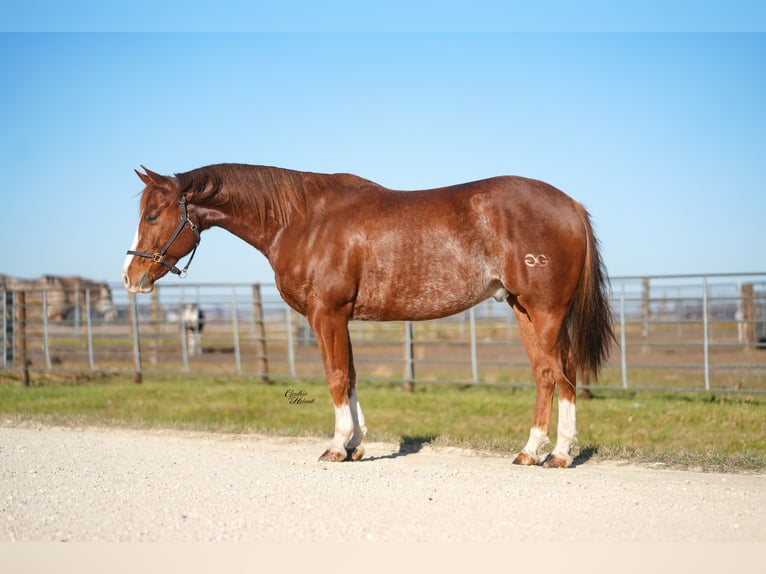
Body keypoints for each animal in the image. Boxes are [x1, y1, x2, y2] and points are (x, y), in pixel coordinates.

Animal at [122, 163, 614, 467]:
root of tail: (570, 205)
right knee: (547, 375)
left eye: (153, 214)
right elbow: (352, 376)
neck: (303, 220)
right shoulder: (340, 318)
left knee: (560, 375)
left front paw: (337, 447)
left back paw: (559, 455)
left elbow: (336, 377)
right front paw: (357, 445)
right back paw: (531, 451)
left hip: (545, 312)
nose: (131, 277)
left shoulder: (326, 314)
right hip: (523, 310)